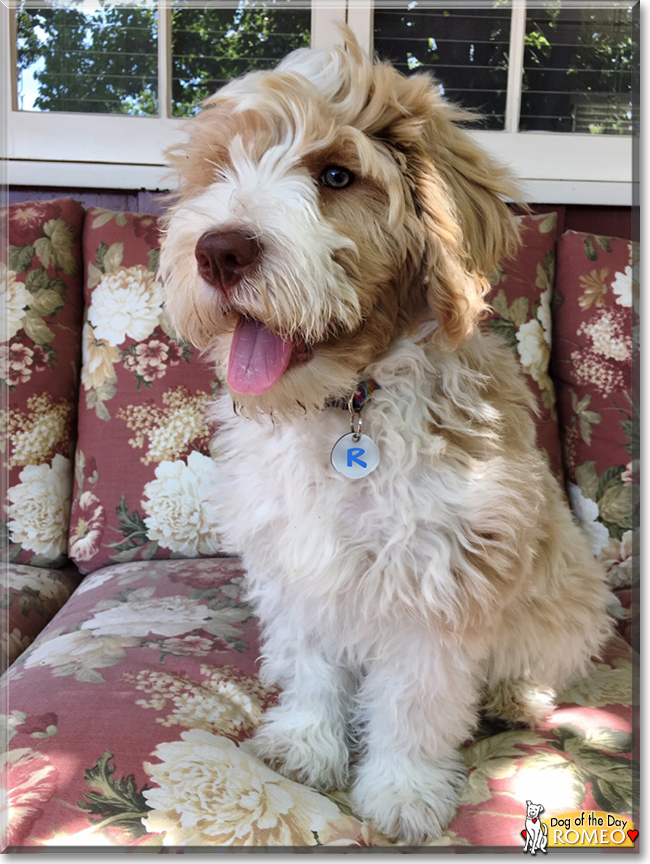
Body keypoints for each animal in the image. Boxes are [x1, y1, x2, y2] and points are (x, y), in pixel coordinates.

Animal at [159, 32, 612, 844]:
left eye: (336, 175)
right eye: (220, 167)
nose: (219, 250)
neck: (347, 408)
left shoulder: (442, 575)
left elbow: (412, 701)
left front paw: (401, 793)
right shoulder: (299, 563)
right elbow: (312, 667)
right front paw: (306, 748)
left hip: (569, 588)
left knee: (549, 653)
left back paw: (519, 695)